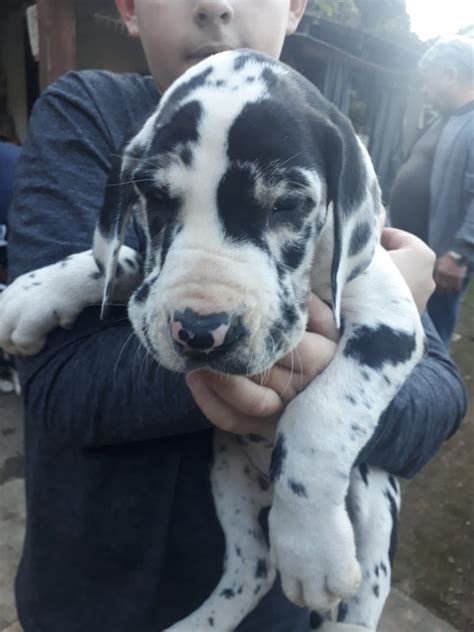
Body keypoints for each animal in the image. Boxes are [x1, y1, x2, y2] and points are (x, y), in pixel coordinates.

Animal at [0, 50, 422, 632]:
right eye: (155, 197)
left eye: (286, 205)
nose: (200, 331)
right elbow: (121, 259)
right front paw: (37, 292)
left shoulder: (391, 322)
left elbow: (317, 413)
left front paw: (312, 549)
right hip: (227, 478)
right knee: (254, 567)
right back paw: (202, 622)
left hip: (378, 502)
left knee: (369, 584)